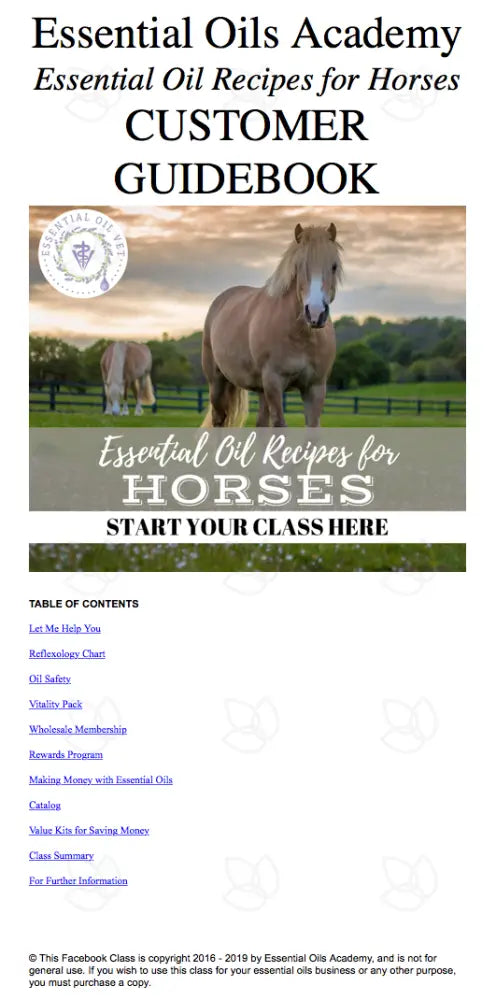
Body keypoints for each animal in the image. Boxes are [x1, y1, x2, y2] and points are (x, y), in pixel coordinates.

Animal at [201, 222, 342, 428]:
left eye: (333, 266)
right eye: (299, 266)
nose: (316, 314)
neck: (301, 336)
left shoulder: (315, 387)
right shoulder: (274, 383)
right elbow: (279, 425)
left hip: (261, 389)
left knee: (260, 423)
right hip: (218, 382)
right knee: (219, 419)